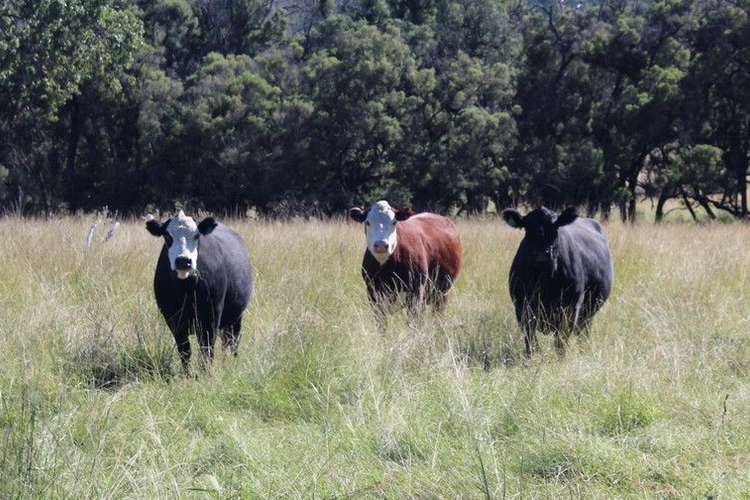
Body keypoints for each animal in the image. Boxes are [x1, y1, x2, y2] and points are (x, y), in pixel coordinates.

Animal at [147, 210, 256, 372]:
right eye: (167, 236)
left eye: (197, 235)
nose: (183, 260)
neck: (186, 290)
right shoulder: (173, 320)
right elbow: (185, 351)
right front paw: (188, 374)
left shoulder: (211, 317)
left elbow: (207, 349)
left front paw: (206, 373)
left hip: (236, 317)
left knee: (233, 341)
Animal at [506, 207, 616, 356]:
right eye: (527, 229)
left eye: (555, 229)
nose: (542, 255)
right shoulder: (522, 309)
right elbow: (531, 342)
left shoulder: (570, 310)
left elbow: (561, 342)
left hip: (588, 312)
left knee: (583, 333)